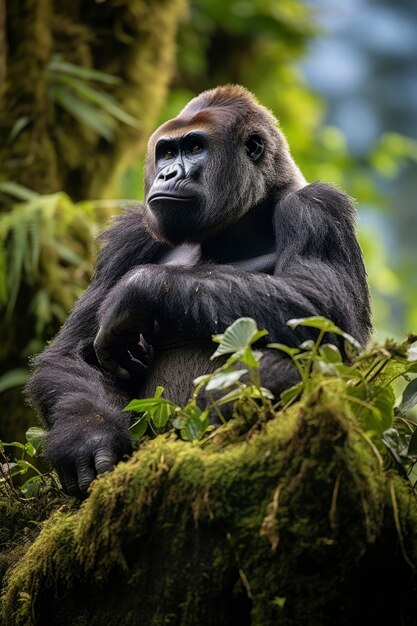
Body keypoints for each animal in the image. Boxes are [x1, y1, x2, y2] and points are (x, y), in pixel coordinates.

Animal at [26, 85, 370, 494]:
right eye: (166, 152)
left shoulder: (317, 207)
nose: (167, 173)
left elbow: (323, 314)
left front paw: (139, 291)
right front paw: (88, 435)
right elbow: (68, 356)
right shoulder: (131, 234)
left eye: (194, 148)